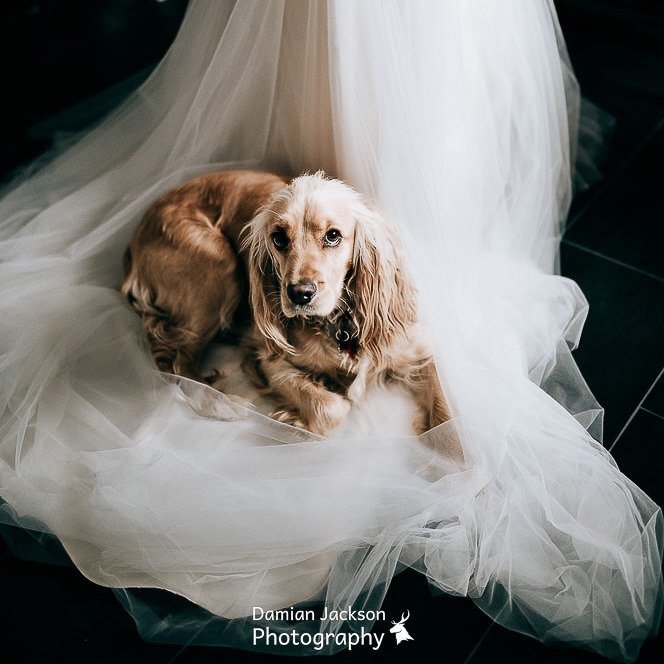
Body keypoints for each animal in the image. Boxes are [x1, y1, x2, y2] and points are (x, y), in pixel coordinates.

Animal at [122, 170, 452, 436]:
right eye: (279, 238)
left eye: (333, 236)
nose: (299, 294)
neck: (338, 325)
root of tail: (135, 238)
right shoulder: (270, 360)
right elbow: (332, 408)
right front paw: (297, 419)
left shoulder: (413, 347)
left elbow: (448, 412)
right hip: (218, 263)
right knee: (179, 361)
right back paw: (221, 403)